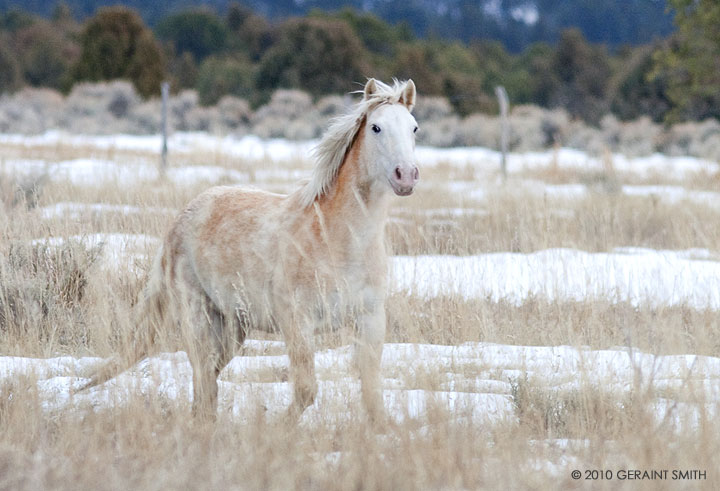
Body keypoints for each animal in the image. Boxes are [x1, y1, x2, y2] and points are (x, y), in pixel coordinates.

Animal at [79, 80, 420, 422]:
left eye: (414, 128)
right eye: (376, 127)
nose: (406, 175)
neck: (337, 239)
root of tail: (181, 219)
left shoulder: (370, 320)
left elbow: (373, 397)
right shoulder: (297, 322)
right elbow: (306, 390)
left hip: (233, 327)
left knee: (207, 384)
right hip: (198, 315)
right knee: (204, 380)